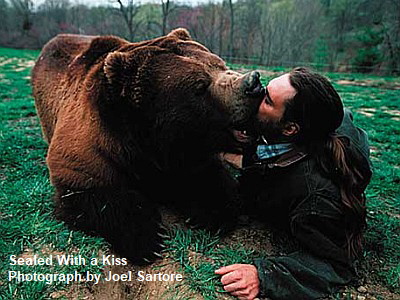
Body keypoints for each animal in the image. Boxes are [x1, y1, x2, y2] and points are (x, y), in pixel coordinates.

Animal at [32, 27, 266, 262]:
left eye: (220, 64)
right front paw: (147, 237)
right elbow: (93, 192)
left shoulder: (190, 153)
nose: (253, 83)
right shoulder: (90, 147)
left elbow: (212, 182)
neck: (147, 145)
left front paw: (210, 212)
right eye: (199, 85)